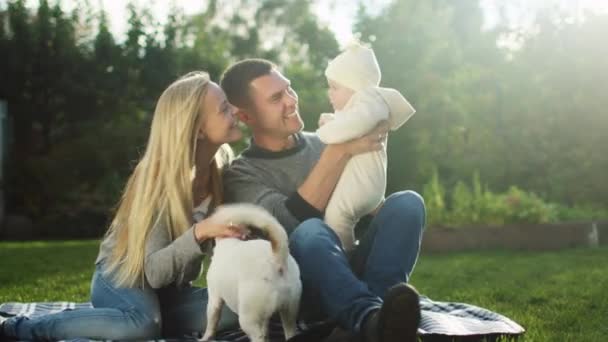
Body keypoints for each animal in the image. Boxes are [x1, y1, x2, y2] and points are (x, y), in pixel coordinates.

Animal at [202, 204, 302, 340]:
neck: (228, 242)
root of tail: (276, 260)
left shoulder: (214, 300)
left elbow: (211, 324)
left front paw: (205, 337)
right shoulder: (265, 317)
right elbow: (265, 328)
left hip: (248, 320)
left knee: (258, 336)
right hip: (289, 312)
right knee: (290, 332)